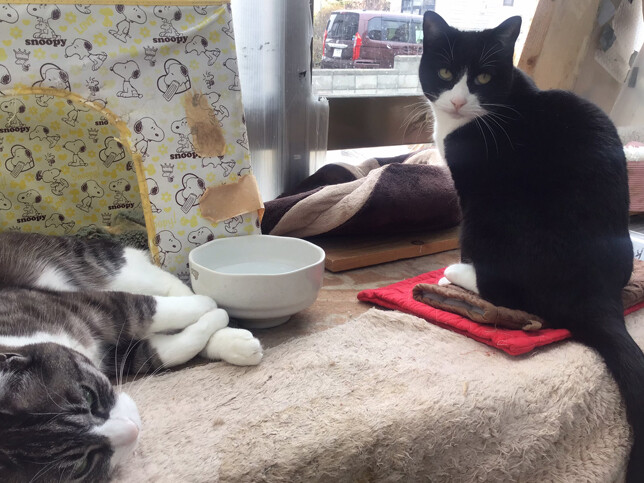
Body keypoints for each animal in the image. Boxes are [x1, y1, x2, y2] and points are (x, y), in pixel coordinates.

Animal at [0, 232, 263, 482]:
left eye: (88, 396)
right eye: (82, 465)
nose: (133, 428)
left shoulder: (92, 305)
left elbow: (146, 308)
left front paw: (212, 305)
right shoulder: (114, 356)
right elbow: (162, 352)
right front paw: (215, 320)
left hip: (95, 265)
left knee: (163, 284)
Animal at [419, 11, 642, 482]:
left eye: (484, 77)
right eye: (445, 73)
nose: (459, 102)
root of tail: (596, 297)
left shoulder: (470, 189)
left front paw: (457, 268)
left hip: (496, 213)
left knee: (510, 288)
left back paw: (456, 275)